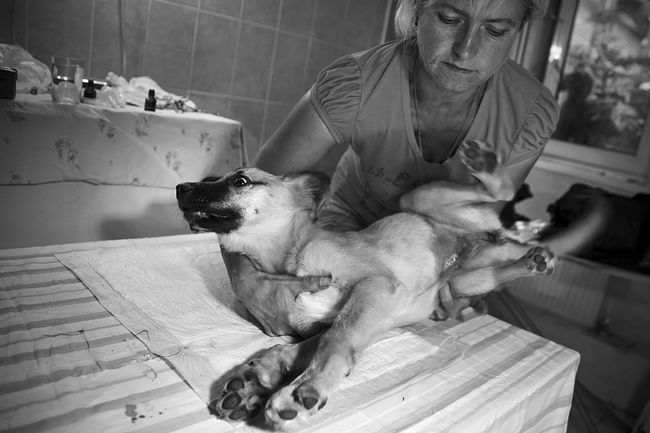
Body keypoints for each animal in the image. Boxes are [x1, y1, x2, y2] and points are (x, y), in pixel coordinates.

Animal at [175, 139, 556, 428]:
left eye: (240, 181)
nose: (180, 188)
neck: (288, 257)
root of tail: (484, 240)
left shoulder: (376, 287)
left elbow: (336, 340)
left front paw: (303, 390)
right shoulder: (340, 316)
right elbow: (304, 346)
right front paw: (256, 380)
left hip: (418, 201)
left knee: (502, 191)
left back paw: (487, 166)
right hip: (465, 279)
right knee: (498, 268)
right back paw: (534, 262)